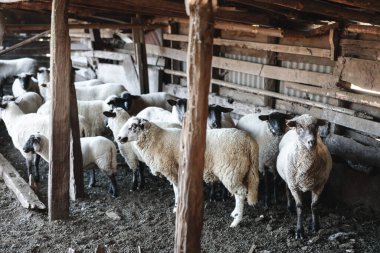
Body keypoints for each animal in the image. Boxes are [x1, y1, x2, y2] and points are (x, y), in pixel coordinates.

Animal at [117, 116, 260, 227]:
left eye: (132, 126)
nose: (118, 137)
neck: (156, 139)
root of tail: (249, 141)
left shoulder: (171, 169)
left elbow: (176, 190)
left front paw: (177, 208)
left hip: (231, 171)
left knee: (240, 193)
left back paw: (236, 221)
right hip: (242, 172)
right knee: (239, 193)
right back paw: (235, 213)